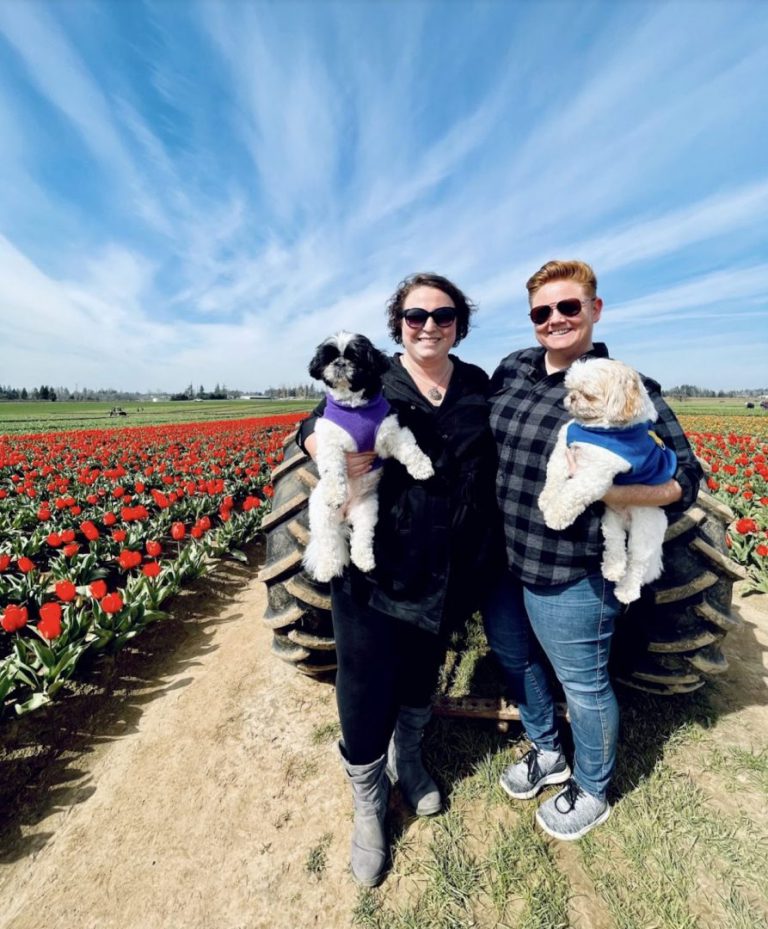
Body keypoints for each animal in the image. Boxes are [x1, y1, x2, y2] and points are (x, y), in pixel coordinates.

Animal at [536, 358, 676, 604]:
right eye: (571, 389)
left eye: (588, 395)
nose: (572, 398)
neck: (595, 429)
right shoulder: (564, 448)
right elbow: (554, 474)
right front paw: (546, 499)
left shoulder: (596, 473)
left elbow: (571, 492)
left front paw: (555, 515)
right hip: (611, 520)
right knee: (615, 544)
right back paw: (613, 569)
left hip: (644, 531)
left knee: (637, 563)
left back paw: (626, 590)